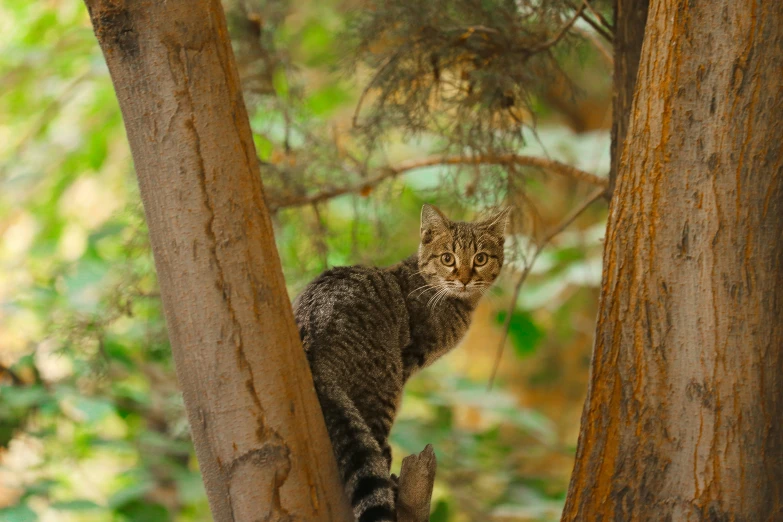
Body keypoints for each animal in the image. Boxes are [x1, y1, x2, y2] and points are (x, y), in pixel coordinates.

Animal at [292, 204, 508, 520]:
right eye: (448, 258)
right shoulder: (410, 357)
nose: (465, 278)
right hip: (385, 384)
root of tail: (312, 341)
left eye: (480, 258)